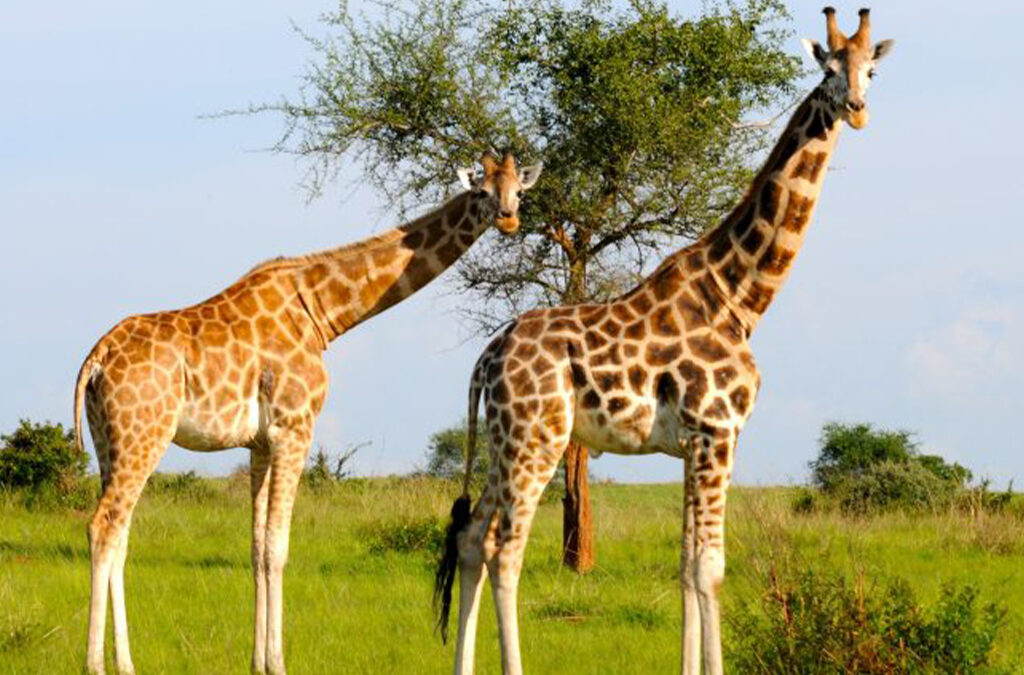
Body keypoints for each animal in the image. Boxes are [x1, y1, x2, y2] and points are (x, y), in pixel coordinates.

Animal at [73, 151, 542, 675]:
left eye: (518, 190)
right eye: (481, 190)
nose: (509, 218)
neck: (321, 311)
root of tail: (96, 358)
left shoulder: (259, 442)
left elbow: (257, 547)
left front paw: (257, 661)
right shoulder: (294, 427)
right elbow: (279, 546)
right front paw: (278, 661)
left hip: (107, 441)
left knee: (121, 534)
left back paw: (126, 663)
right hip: (145, 433)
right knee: (103, 526)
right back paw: (94, 664)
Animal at [434, 9, 893, 675]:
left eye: (870, 72)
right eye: (828, 70)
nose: (856, 109)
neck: (738, 296)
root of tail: (483, 360)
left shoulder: (691, 445)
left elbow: (685, 567)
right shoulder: (717, 433)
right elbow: (711, 569)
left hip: (503, 442)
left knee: (472, 539)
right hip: (537, 439)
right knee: (506, 549)